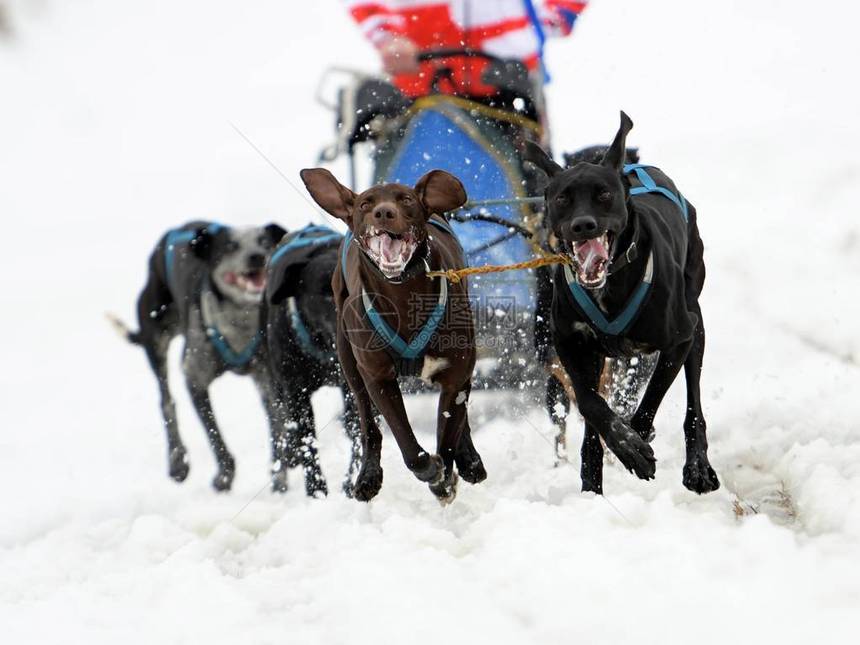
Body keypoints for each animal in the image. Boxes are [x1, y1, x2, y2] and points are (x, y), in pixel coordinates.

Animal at [109, 219, 286, 490]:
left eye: (264, 242)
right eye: (230, 246)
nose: (257, 256)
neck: (240, 322)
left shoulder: (268, 379)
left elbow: (278, 429)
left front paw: (280, 477)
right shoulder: (195, 379)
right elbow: (215, 436)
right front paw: (224, 476)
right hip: (156, 343)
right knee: (167, 402)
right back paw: (177, 461)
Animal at [264, 224, 362, 496]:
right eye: (325, 294)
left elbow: (358, 431)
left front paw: (352, 482)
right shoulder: (296, 393)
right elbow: (307, 442)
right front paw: (317, 491)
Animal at [298, 169, 488, 500]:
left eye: (407, 199)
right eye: (365, 204)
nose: (384, 212)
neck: (402, 292)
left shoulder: (456, 374)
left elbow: (449, 432)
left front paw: (446, 477)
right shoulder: (378, 377)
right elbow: (407, 445)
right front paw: (432, 471)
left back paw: (469, 460)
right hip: (349, 362)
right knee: (367, 423)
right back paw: (367, 476)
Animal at [524, 112, 720, 494]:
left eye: (604, 194)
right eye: (562, 199)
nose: (583, 225)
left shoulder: (678, 340)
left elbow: (647, 402)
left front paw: (635, 445)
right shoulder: (569, 345)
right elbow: (591, 405)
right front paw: (616, 451)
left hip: (695, 324)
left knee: (694, 406)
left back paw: (698, 468)